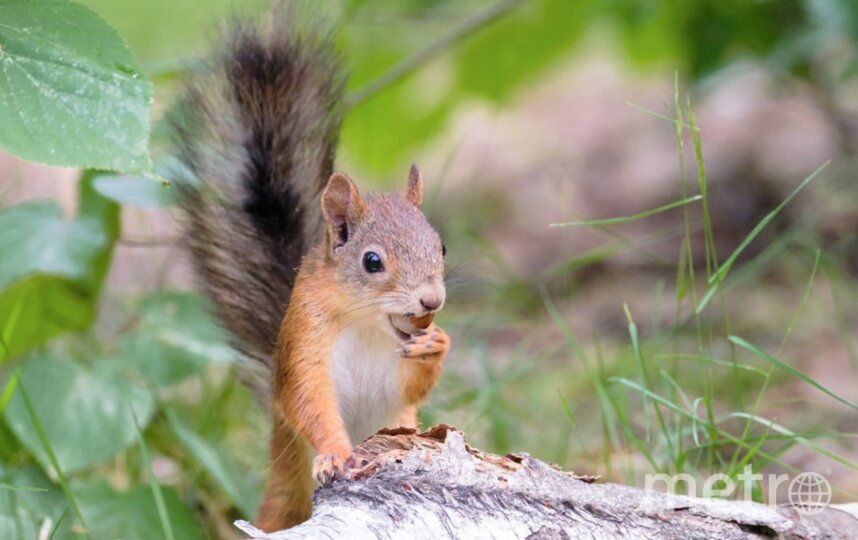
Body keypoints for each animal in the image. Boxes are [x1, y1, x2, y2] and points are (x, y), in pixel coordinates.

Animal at [168, 7, 448, 532]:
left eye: (440, 245)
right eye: (372, 261)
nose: (432, 301)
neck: (367, 324)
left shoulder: (392, 383)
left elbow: (405, 390)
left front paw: (436, 344)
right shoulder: (305, 339)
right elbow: (309, 400)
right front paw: (335, 453)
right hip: (284, 483)